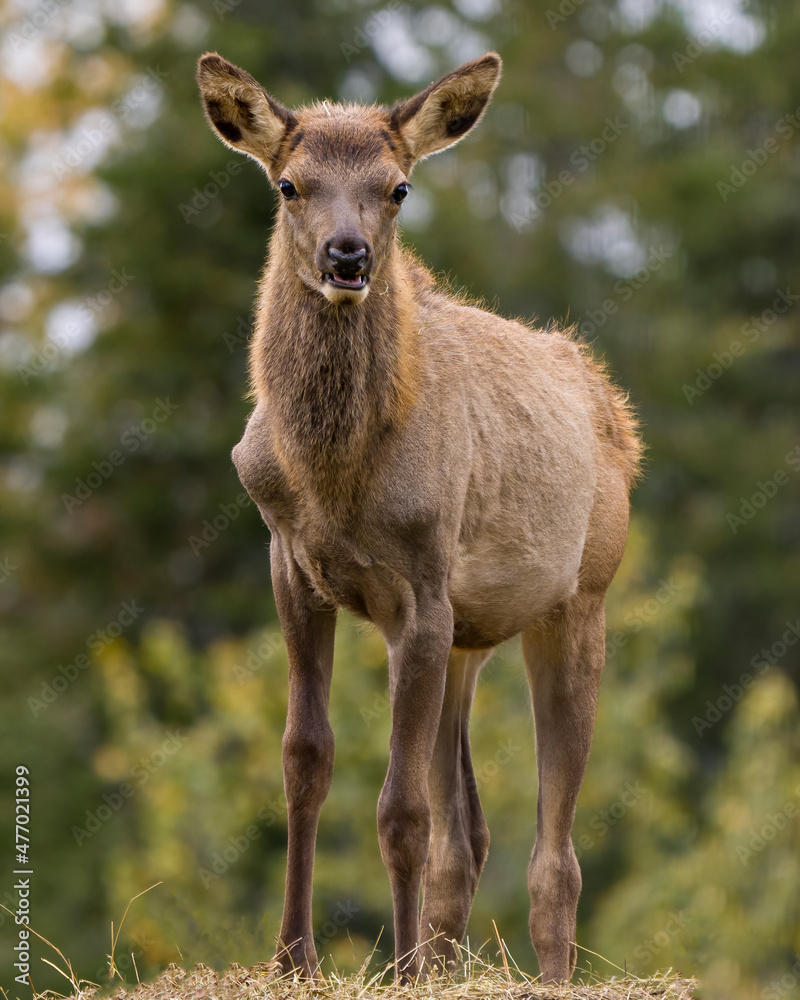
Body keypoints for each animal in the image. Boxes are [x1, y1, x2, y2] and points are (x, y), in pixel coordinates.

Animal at [197, 50, 640, 980]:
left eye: (397, 187)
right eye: (288, 183)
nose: (348, 256)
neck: (335, 480)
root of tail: (611, 406)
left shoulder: (421, 588)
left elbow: (400, 809)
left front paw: (397, 971)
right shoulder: (290, 563)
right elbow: (304, 760)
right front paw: (294, 958)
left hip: (580, 596)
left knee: (555, 848)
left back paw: (538, 973)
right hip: (470, 636)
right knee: (466, 835)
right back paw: (443, 957)